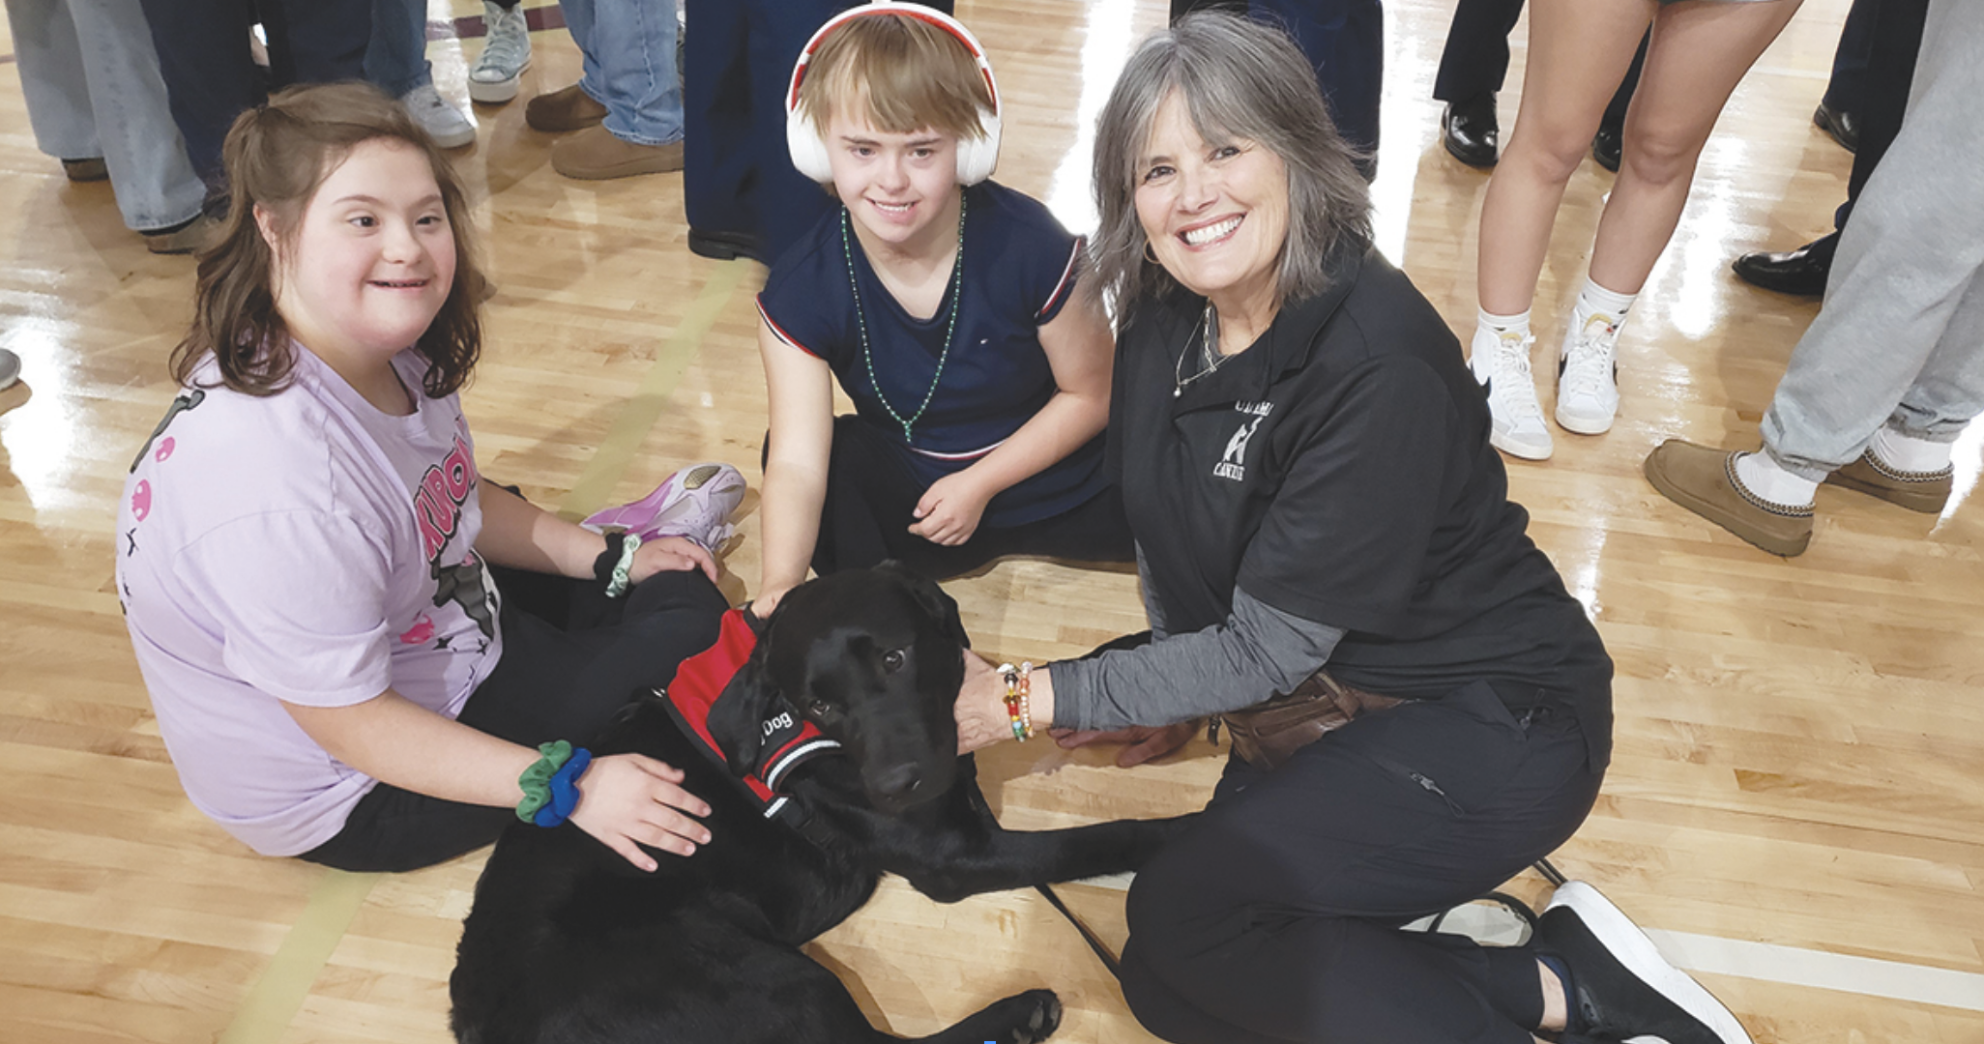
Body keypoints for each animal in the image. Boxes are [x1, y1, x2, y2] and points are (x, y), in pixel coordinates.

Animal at [450, 563, 1182, 1044]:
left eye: (895, 658)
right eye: (818, 705)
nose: (896, 785)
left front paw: (1135, 653)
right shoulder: (954, 857)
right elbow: (1100, 836)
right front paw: (1186, 829)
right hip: (774, 979)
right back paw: (1018, 1013)